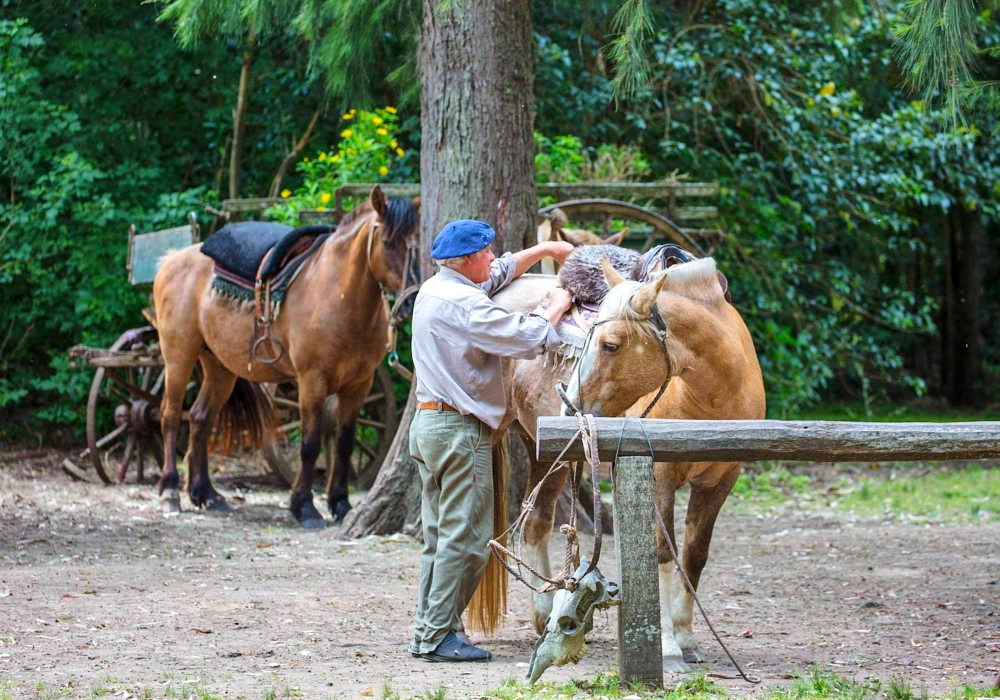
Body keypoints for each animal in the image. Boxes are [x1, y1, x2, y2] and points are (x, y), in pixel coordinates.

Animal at [151, 189, 418, 528]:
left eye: (416, 243)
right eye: (387, 243)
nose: (412, 299)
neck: (338, 295)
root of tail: (172, 259)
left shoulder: (359, 385)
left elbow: (344, 444)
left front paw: (341, 504)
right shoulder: (312, 380)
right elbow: (310, 444)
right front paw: (305, 507)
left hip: (219, 367)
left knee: (200, 418)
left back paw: (206, 494)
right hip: (179, 355)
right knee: (171, 416)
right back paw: (171, 491)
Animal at [464, 258, 760, 672]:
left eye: (610, 345)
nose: (568, 407)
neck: (713, 393)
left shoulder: (721, 482)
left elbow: (694, 557)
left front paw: (688, 639)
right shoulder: (658, 476)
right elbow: (661, 554)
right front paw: (669, 647)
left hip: (550, 458)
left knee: (536, 524)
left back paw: (544, 615)